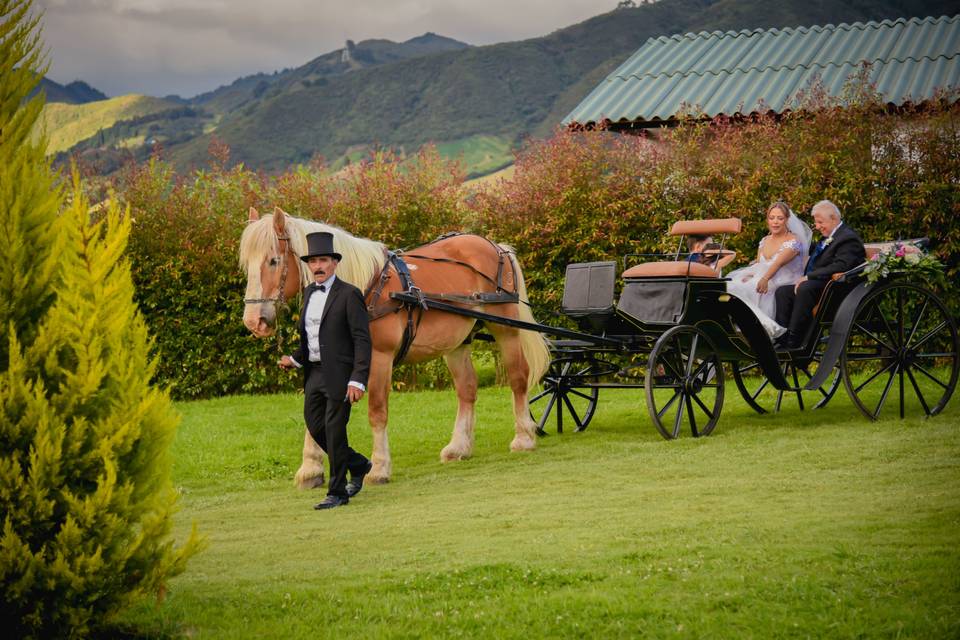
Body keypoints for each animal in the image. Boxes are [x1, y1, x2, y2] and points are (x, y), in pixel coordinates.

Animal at [238, 208, 548, 488]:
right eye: (246, 265)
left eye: (273, 260)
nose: (254, 322)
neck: (363, 287)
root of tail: (495, 246)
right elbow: (312, 414)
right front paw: (310, 469)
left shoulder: (378, 358)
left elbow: (377, 411)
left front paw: (379, 468)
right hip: (458, 342)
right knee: (467, 389)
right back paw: (459, 447)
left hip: (507, 329)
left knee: (518, 377)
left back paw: (524, 437)